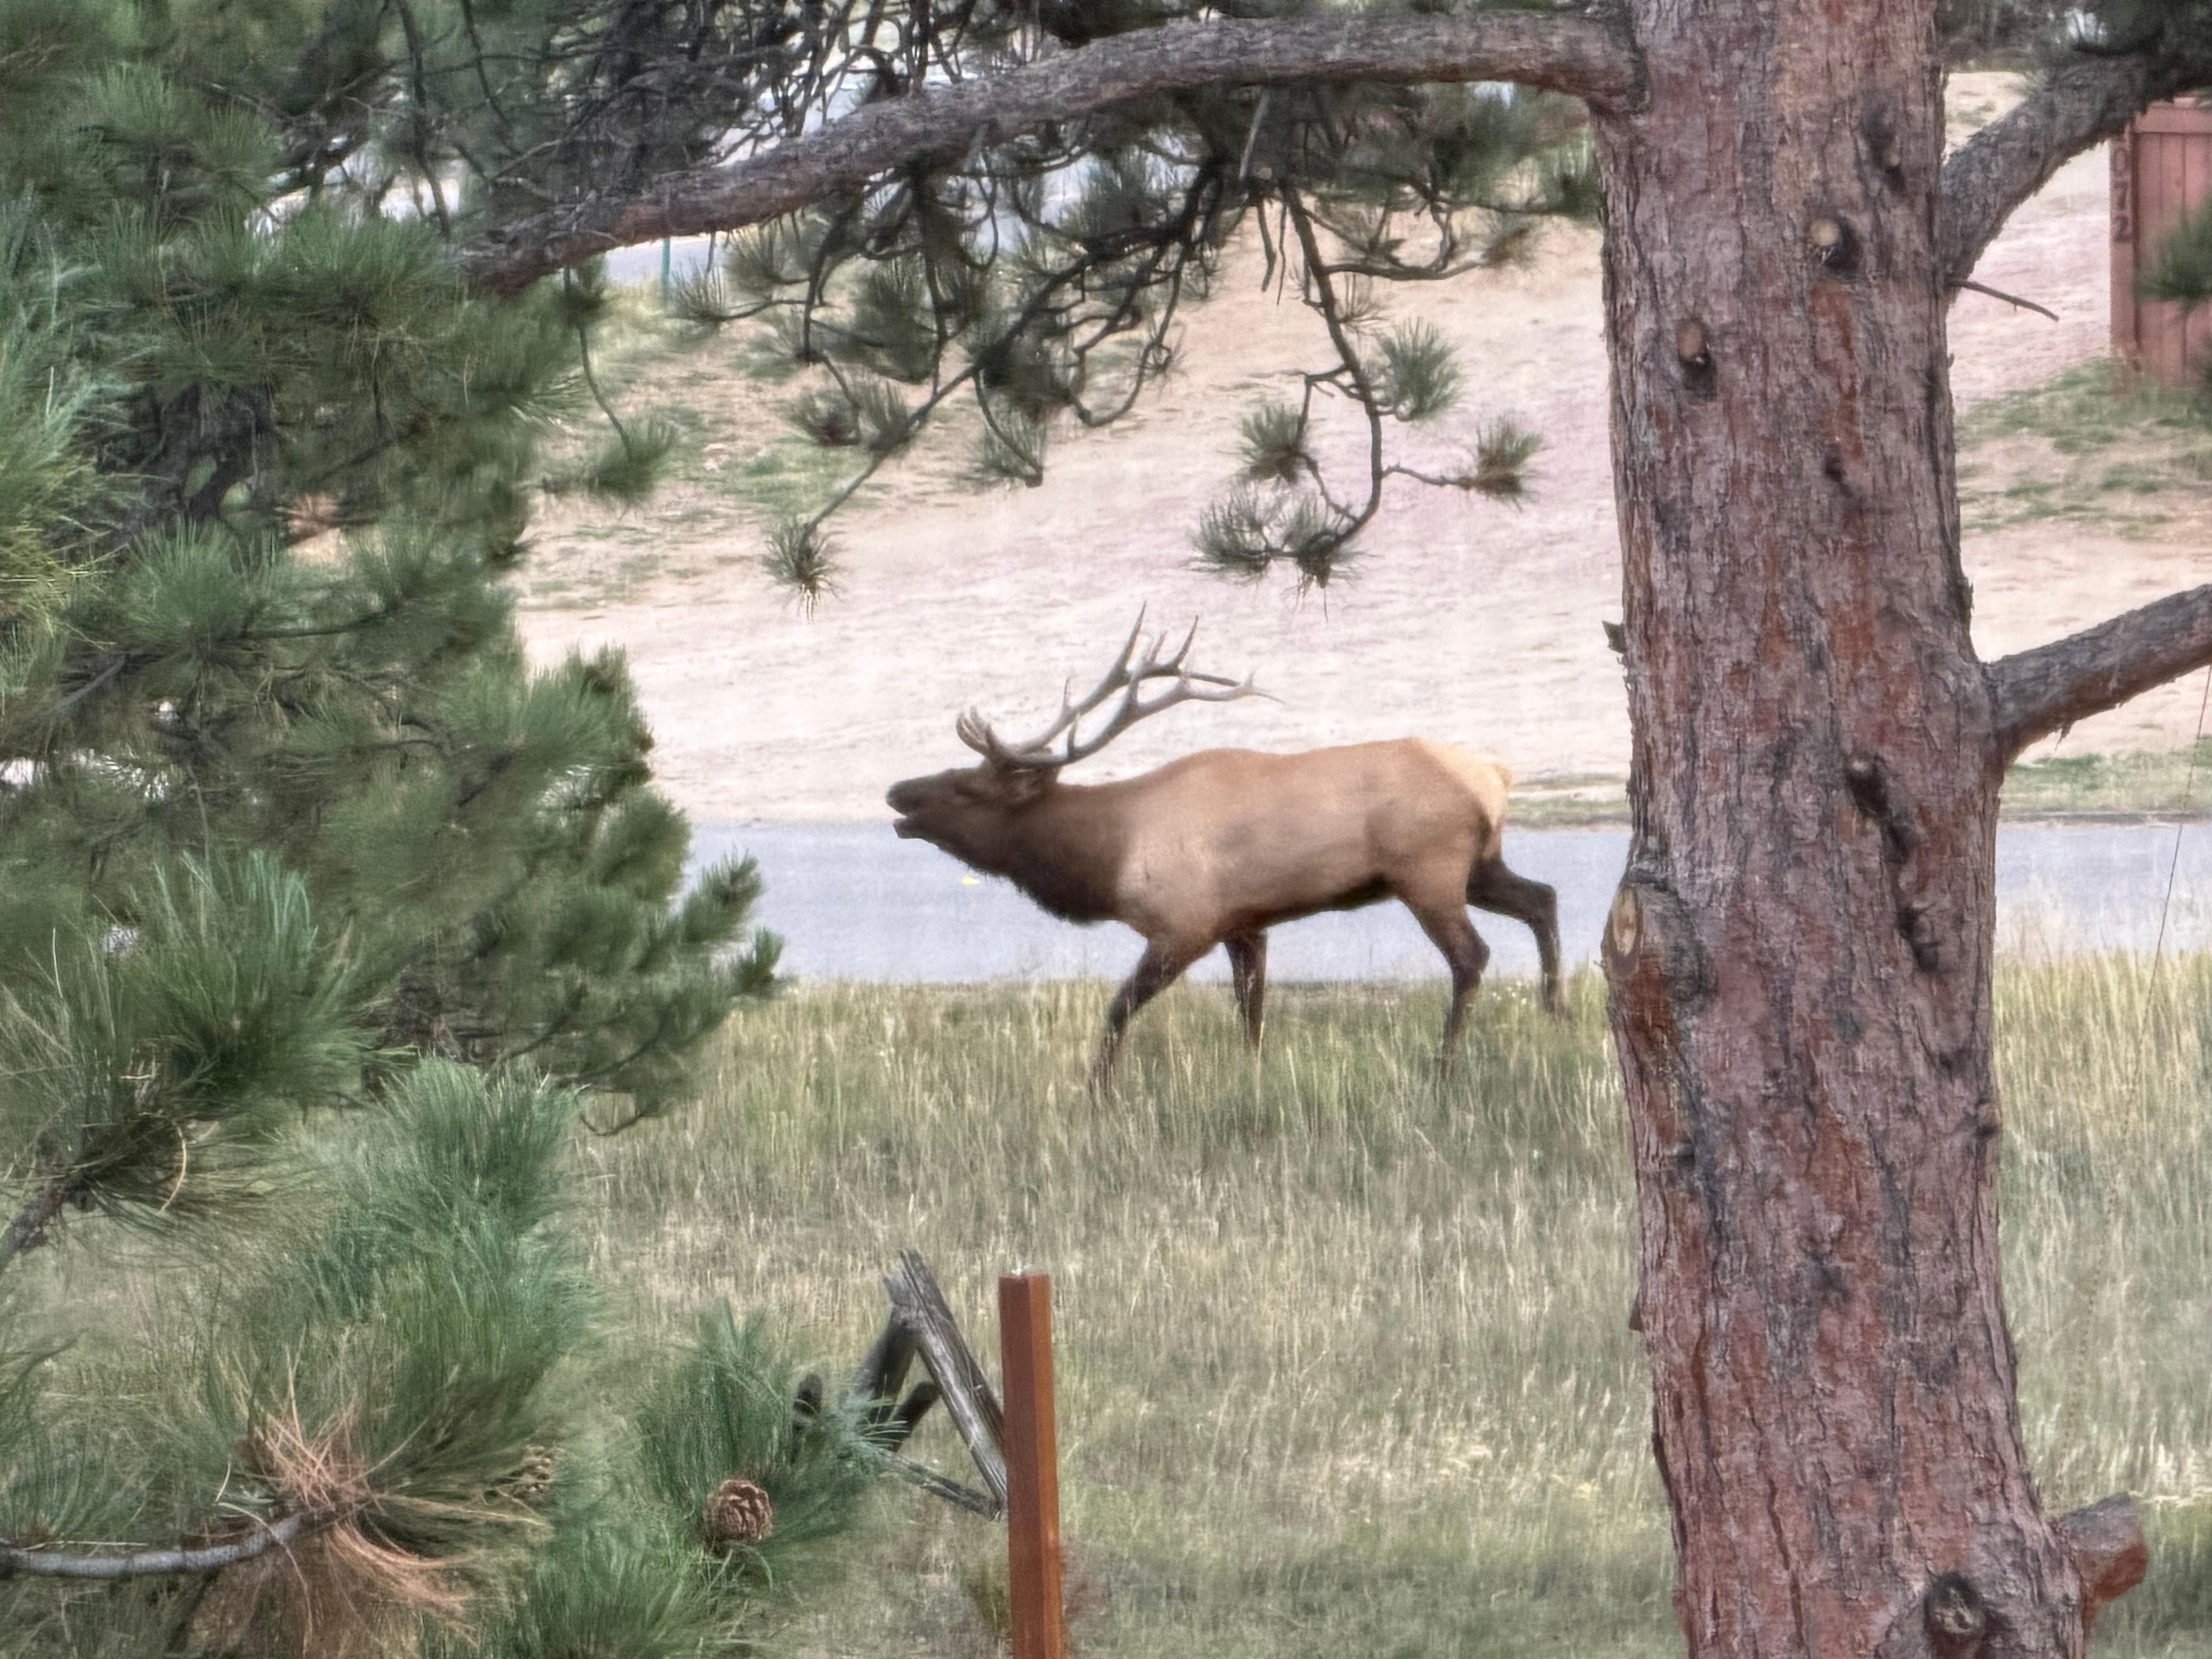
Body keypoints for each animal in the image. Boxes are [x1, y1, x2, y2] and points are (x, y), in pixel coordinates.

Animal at [884, 613, 1565, 1089]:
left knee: (1471, 955)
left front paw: (1096, 1090)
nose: (896, 791)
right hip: (1480, 866)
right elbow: (1251, 1013)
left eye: (968, 785)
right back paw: (1555, 1014)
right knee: (1543, 898)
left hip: (1427, 870)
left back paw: (1443, 1067)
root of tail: (1494, 776)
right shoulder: (1245, 924)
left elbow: (1118, 1009)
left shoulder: (1184, 925)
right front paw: (1251, 1076)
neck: (1109, 854)